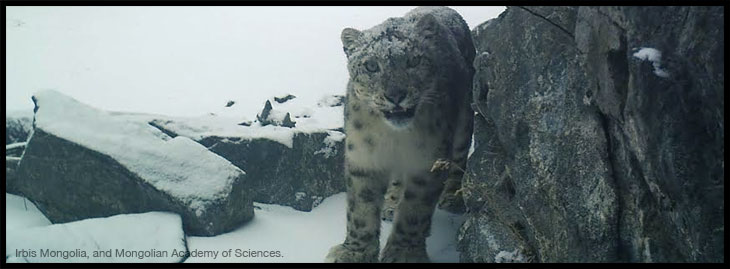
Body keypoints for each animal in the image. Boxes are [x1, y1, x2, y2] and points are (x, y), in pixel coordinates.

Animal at [322, 6, 472, 262]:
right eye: (371, 66)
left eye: (414, 60)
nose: (395, 95)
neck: (393, 137)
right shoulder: (363, 157)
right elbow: (360, 209)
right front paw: (354, 251)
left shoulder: (426, 161)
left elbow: (414, 211)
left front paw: (403, 253)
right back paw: (390, 204)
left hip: (464, 121)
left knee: (460, 157)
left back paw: (453, 196)